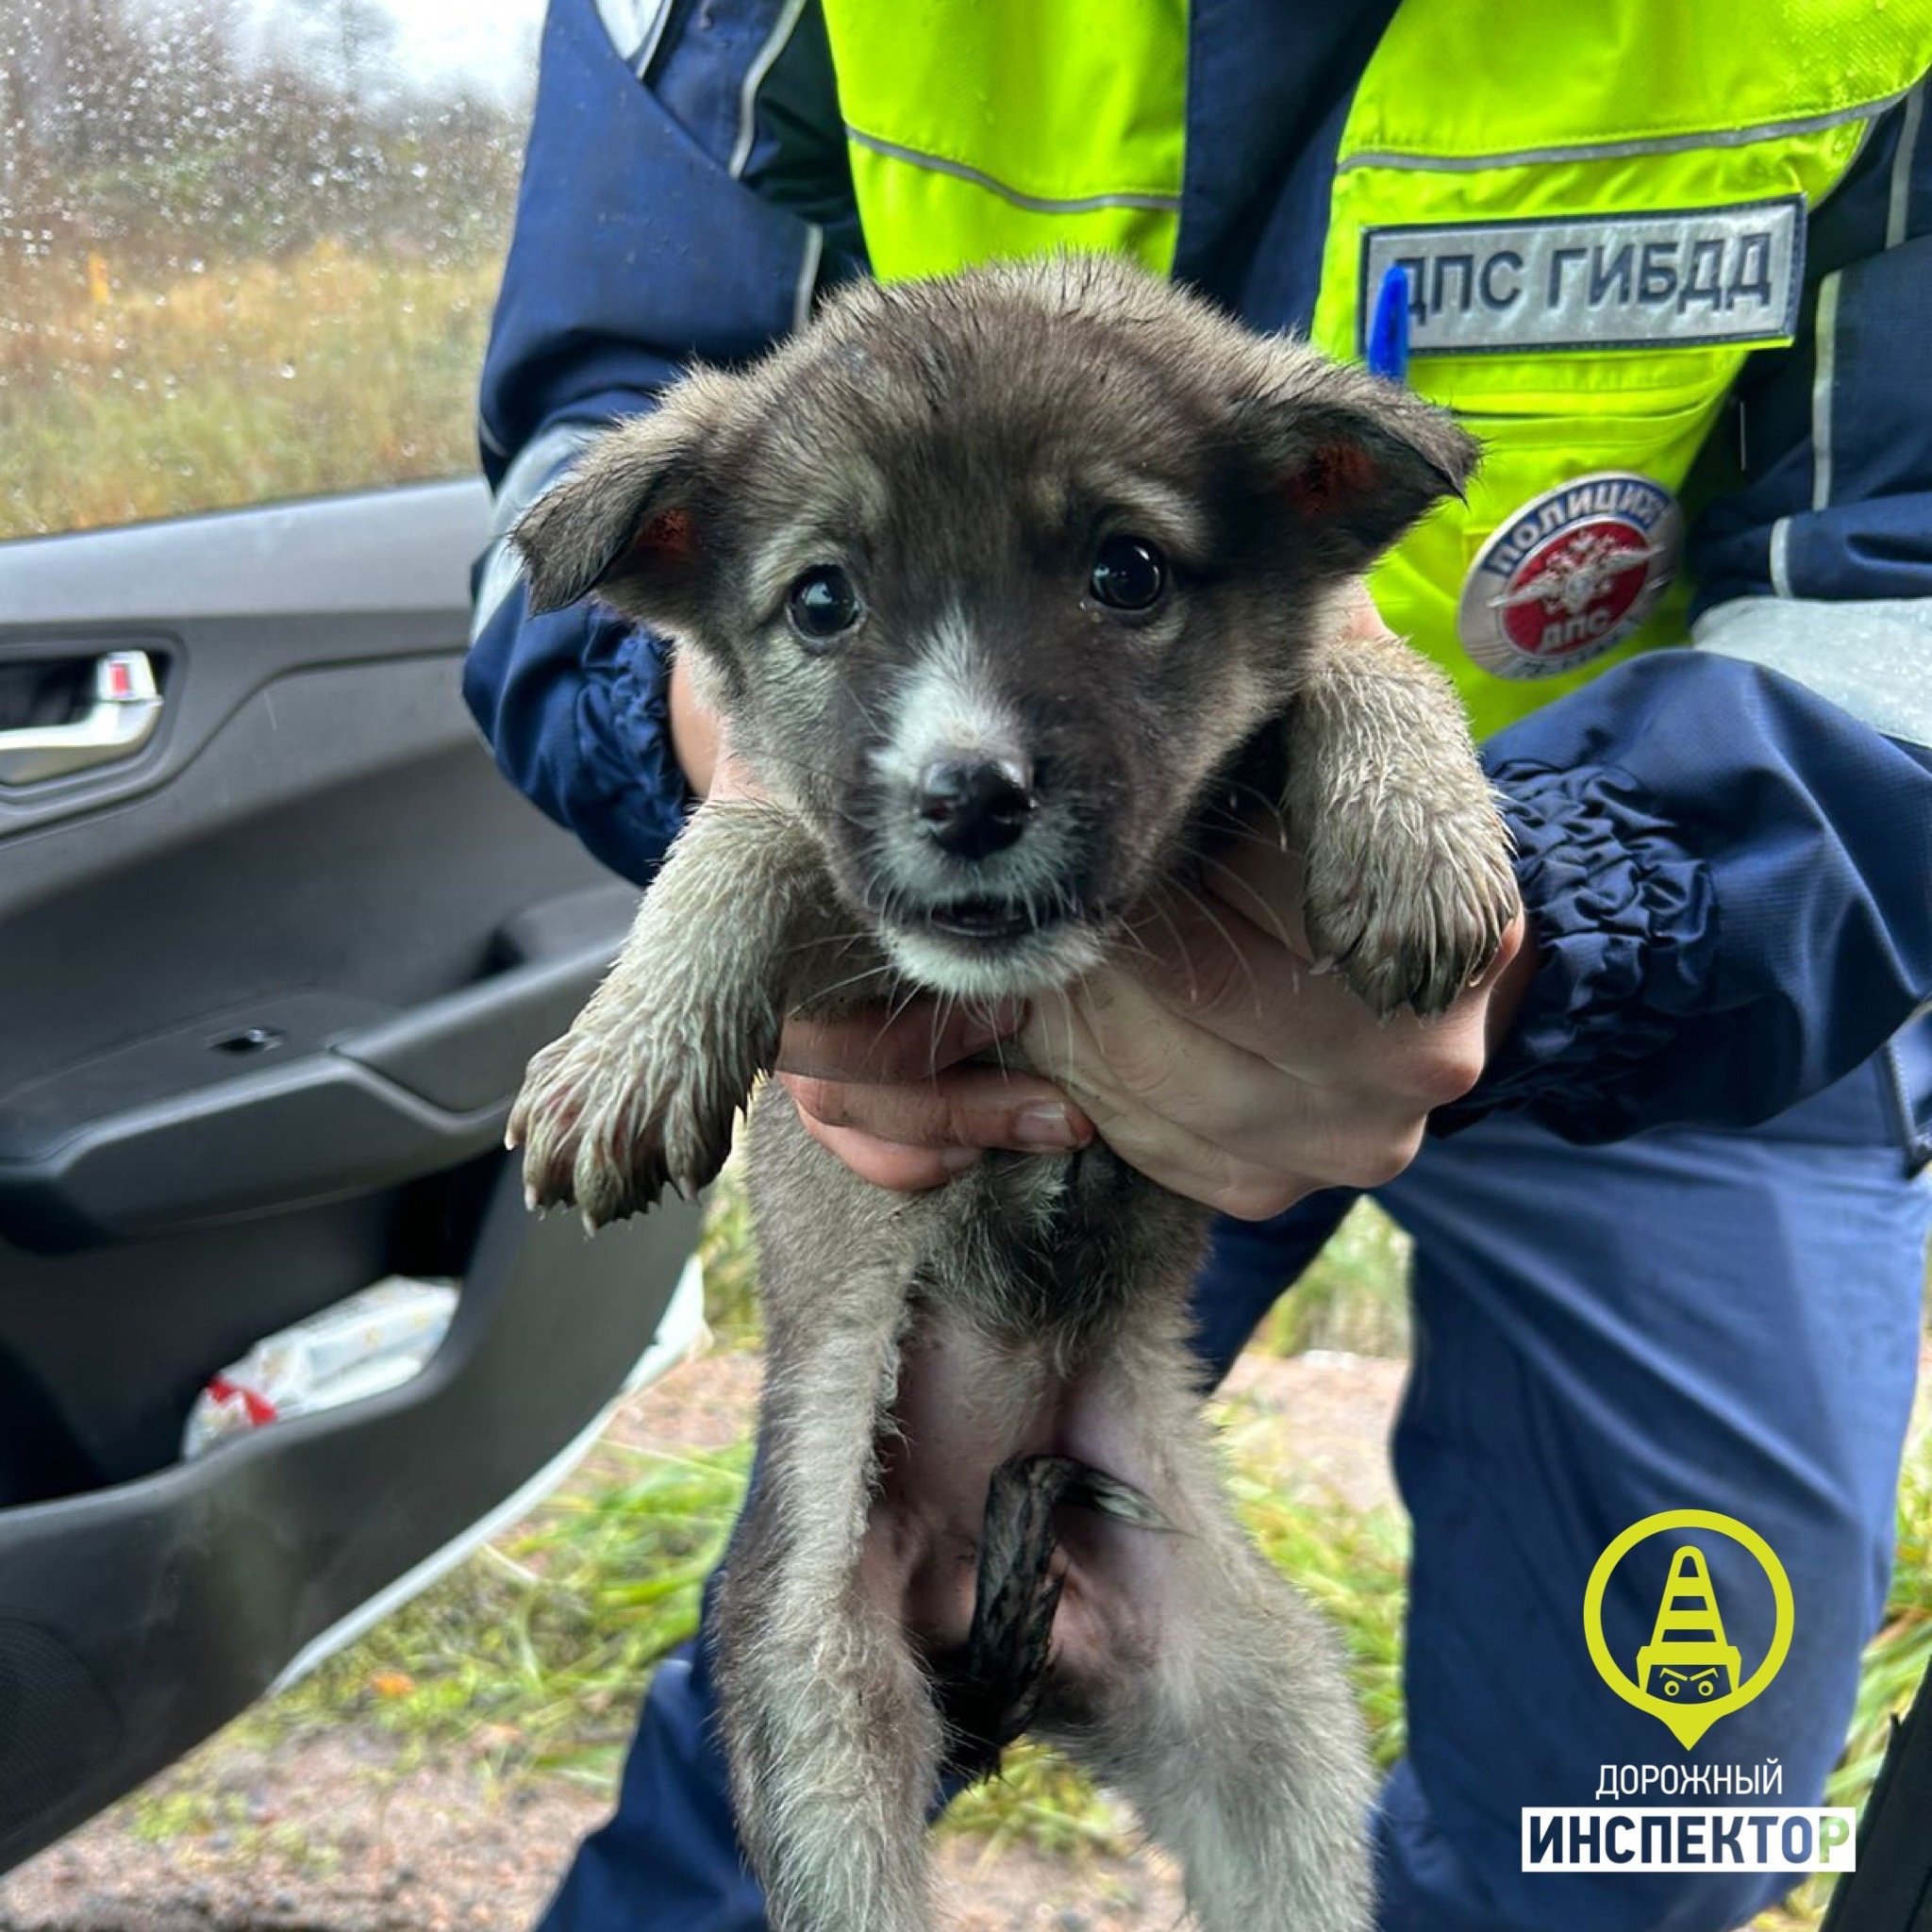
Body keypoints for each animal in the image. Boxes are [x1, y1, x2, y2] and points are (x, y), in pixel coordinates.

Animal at [506, 257, 1514, 1932]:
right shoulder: (875, 957)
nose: (969, 797)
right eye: (823, 599)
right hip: (820, 1719)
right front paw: (630, 1042)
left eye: (1128, 573)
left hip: (1279, 1723)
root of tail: (1002, 1636)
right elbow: (754, 832)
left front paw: (1414, 825)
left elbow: (1365, 660)